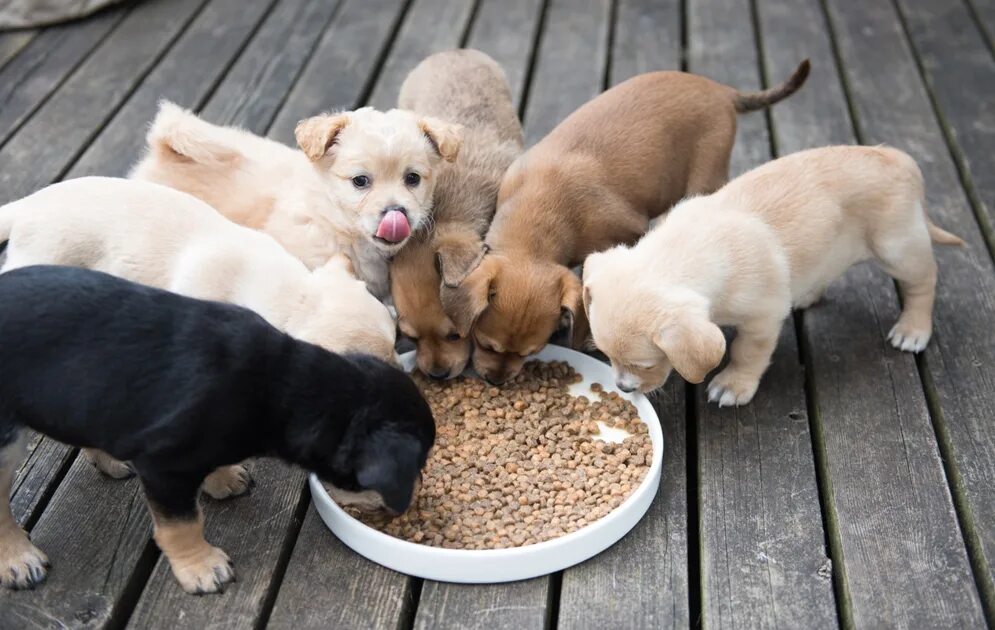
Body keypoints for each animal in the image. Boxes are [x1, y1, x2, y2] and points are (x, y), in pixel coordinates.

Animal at [442, 60, 808, 386]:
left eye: (530, 352)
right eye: (485, 343)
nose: (496, 382)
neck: (540, 211)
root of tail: (722, 91)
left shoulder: (627, 234)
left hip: (706, 173)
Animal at [584, 146, 964, 408]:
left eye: (644, 365)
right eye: (605, 355)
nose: (623, 387)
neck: (684, 250)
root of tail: (901, 159)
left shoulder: (761, 321)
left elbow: (745, 353)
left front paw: (734, 384)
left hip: (897, 248)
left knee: (925, 282)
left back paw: (913, 330)